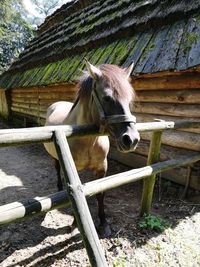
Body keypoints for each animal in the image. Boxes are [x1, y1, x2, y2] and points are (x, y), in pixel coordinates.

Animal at [44, 60, 140, 237]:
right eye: (107, 98)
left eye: (129, 99)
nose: (131, 139)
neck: (88, 139)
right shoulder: (74, 170)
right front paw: (75, 223)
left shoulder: (102, 168)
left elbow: (100, 193)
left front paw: (103, 224)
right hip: (54, 157)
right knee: (57, 169)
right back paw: (59, 188)